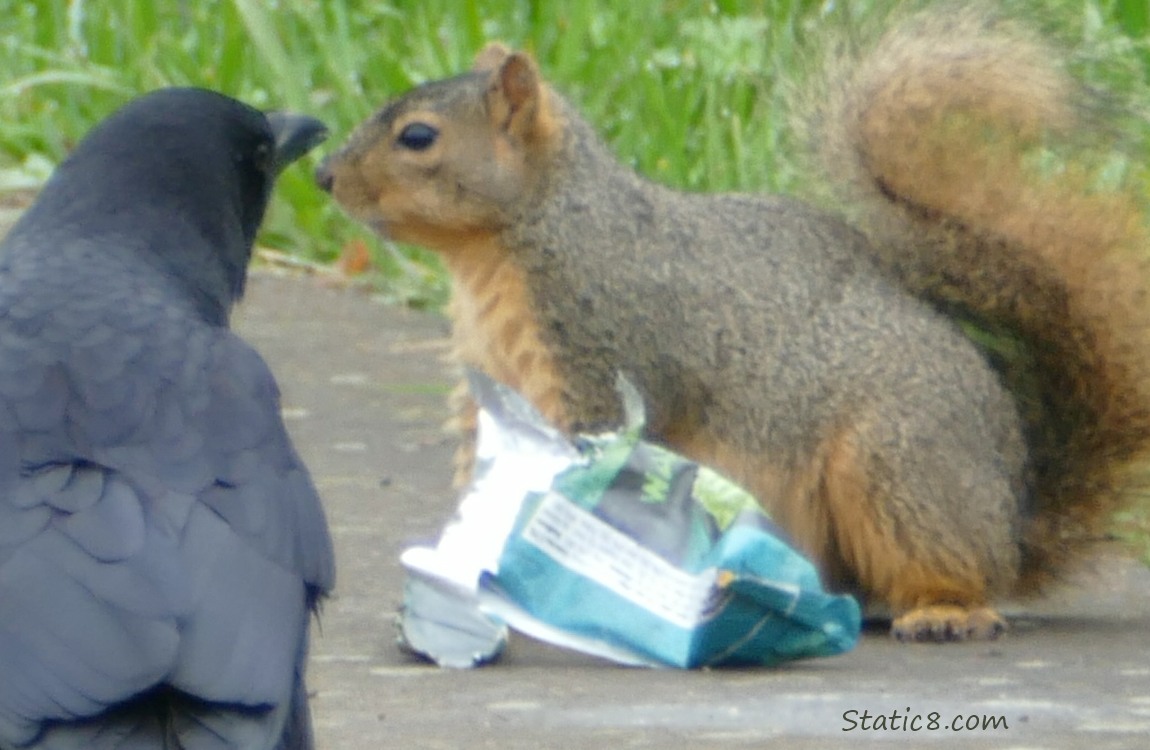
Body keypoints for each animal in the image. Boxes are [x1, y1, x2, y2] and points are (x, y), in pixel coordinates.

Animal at [319, 5, 1150, 639]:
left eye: (418, 137)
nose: (324, 174)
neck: (519, 239)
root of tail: (1014, 521)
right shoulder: (488, 382)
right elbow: (483, 462)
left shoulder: (605, 355)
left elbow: (587, 460)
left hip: (900, 462)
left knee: (951, 564)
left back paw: (946, 608)